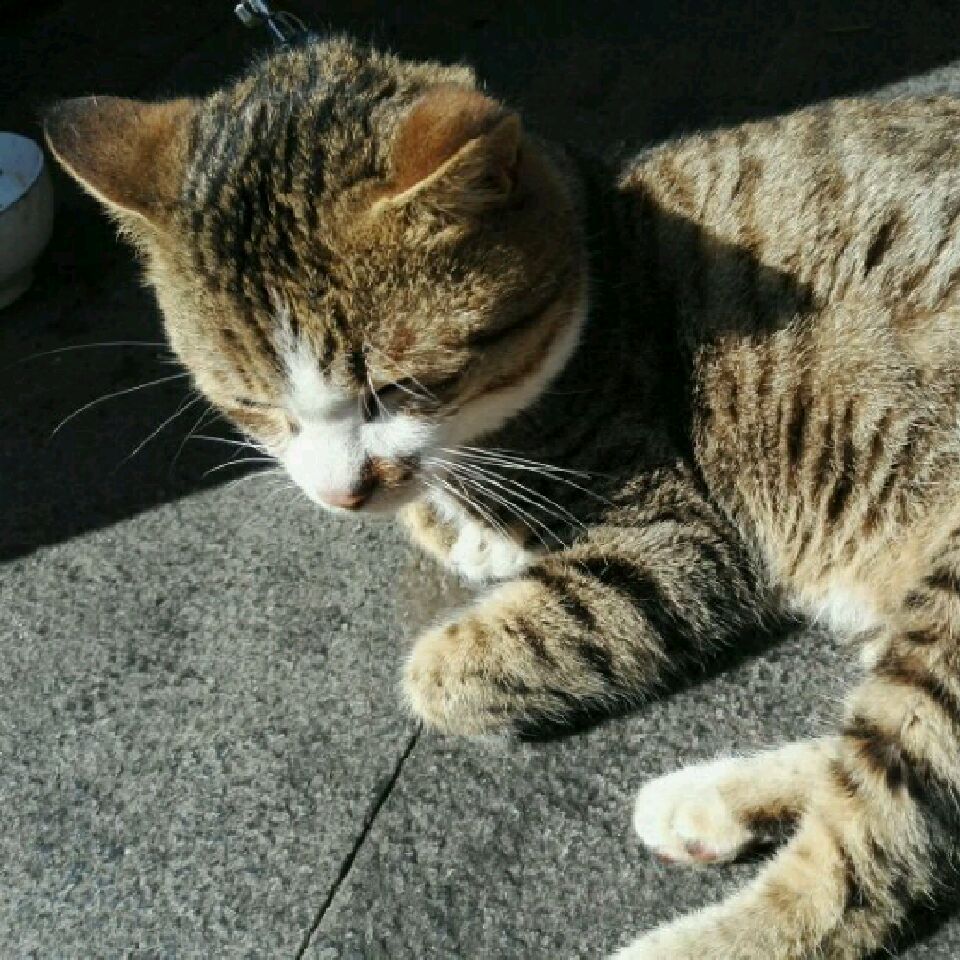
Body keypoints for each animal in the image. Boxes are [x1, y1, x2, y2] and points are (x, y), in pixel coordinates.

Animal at [43, 35, 960, 960]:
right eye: (250, 404)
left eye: (399, 386)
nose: (341, 494)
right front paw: (472, 529)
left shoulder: (678, 534)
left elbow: (463, 659)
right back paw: (710, 800)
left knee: (881, 838)